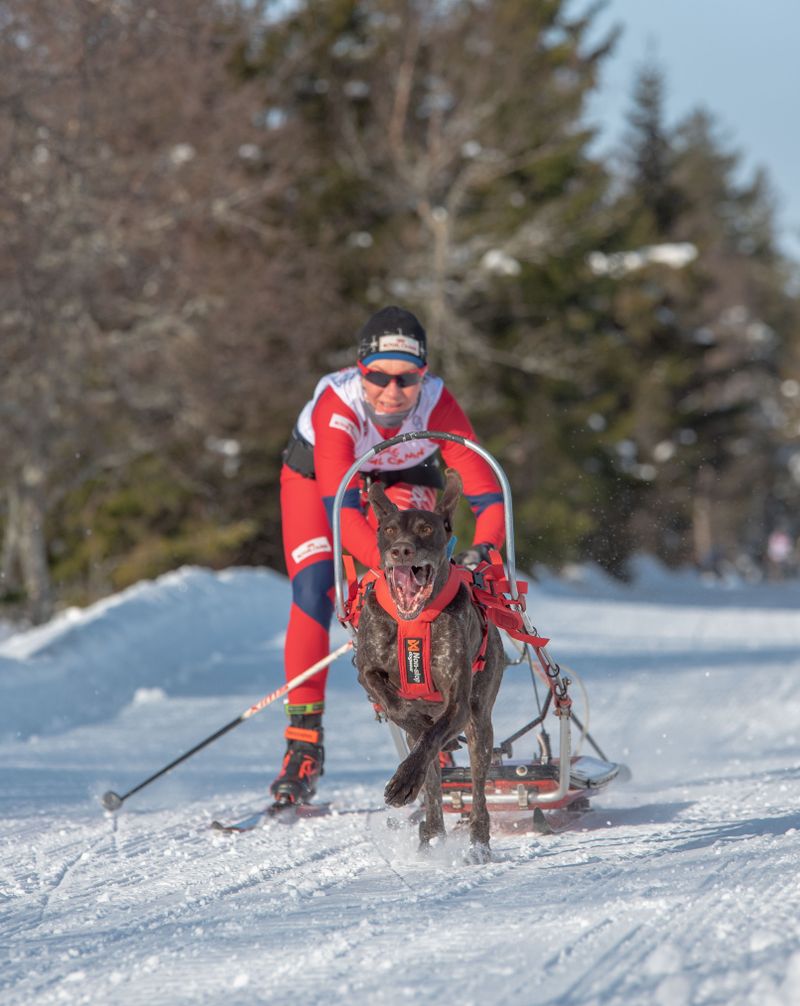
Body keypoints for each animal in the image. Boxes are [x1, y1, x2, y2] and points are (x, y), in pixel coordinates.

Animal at [358, 466, 503, 861]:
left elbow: (433, 736)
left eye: (425, 528)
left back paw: (478, 843)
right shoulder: (367, 670)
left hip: (480, 723)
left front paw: (404, 782)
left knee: (477, 788)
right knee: (434, 784)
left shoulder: (458, 701)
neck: (412, 618)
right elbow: (398, 708)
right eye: (389, 529)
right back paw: (432, 834)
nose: (402, 550)